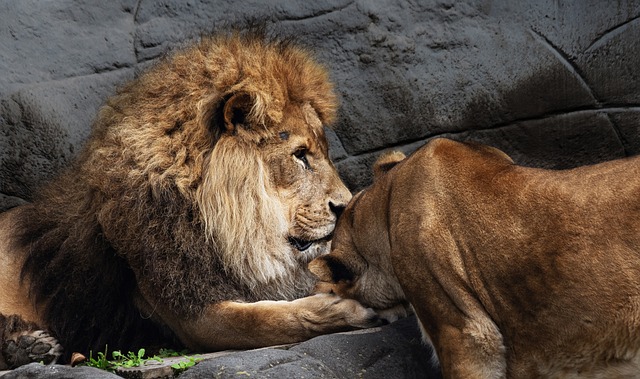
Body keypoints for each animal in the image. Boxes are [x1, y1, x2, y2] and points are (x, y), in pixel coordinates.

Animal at [0, 30, 380, 372]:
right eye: (300, 155)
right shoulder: (190, 313)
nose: (345, 205)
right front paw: (342, 309)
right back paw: (27, 345)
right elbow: (266, 319)